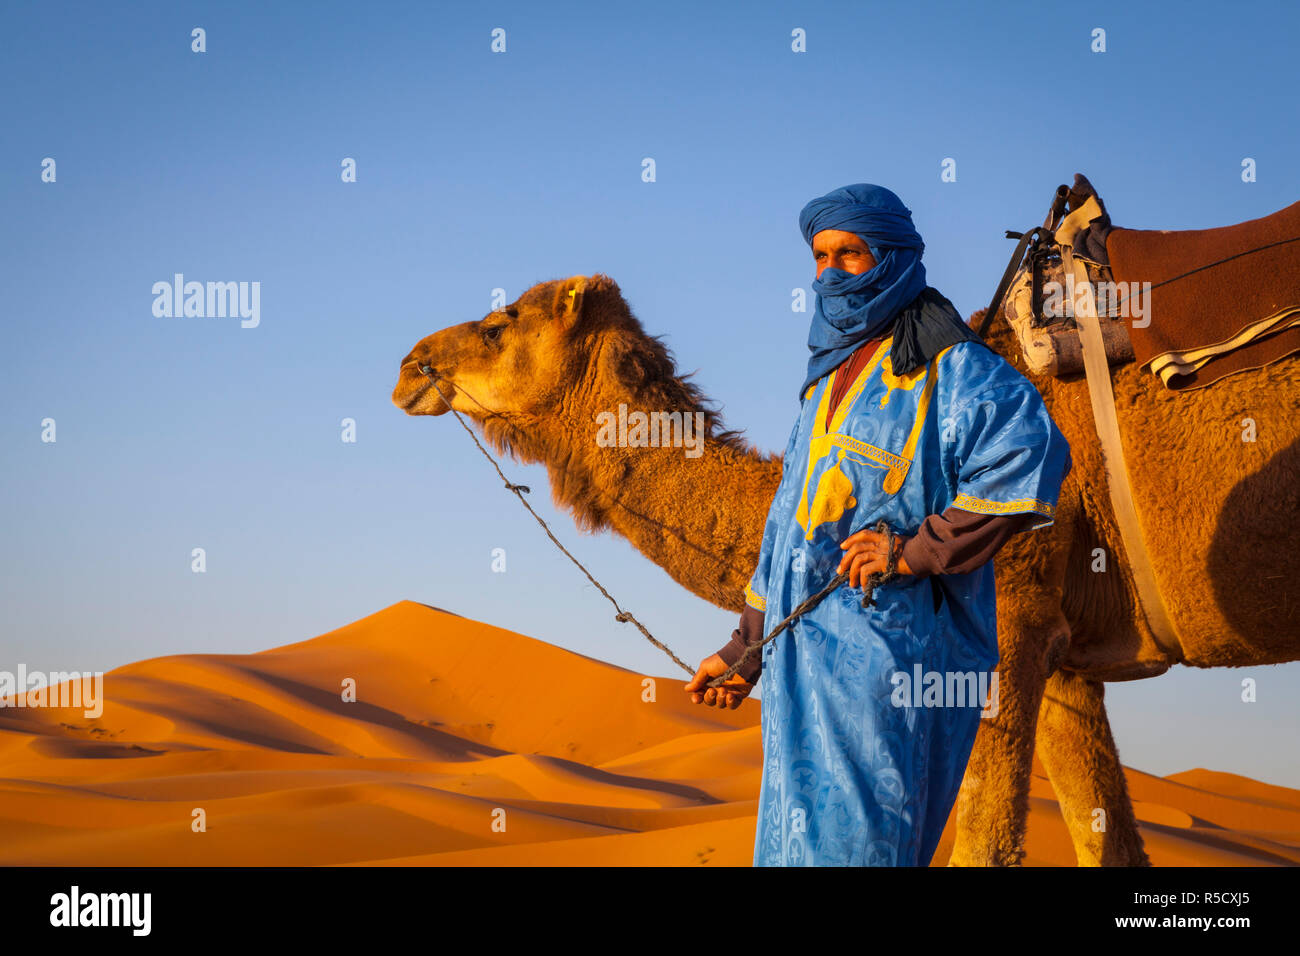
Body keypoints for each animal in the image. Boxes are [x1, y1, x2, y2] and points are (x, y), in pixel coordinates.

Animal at [392, 270, 1300, 868]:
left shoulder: (1012, 625)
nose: (410, 364)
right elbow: (1109, 844)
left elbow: (983, 846)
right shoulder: (1071, 661)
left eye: (504, 320)